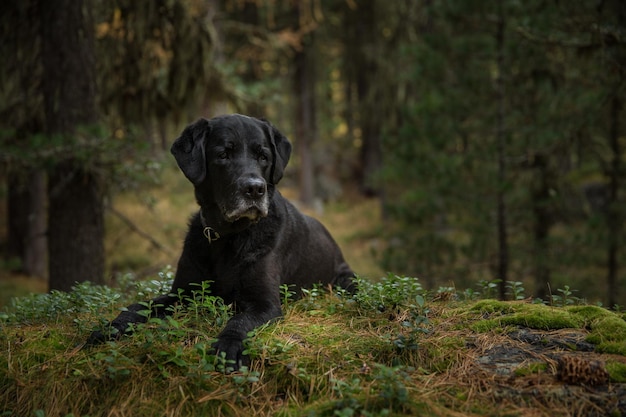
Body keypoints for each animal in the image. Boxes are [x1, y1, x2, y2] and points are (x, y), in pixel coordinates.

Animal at [88, 113, 354, 368]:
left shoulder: (265, 304)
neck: (228, 236)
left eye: (263, 156)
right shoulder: (183, 292)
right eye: (223, 155)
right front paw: (109, 328)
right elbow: (139, 306)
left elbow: (240, 320)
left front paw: (229, 347)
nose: (255, 189)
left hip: (346, 280)